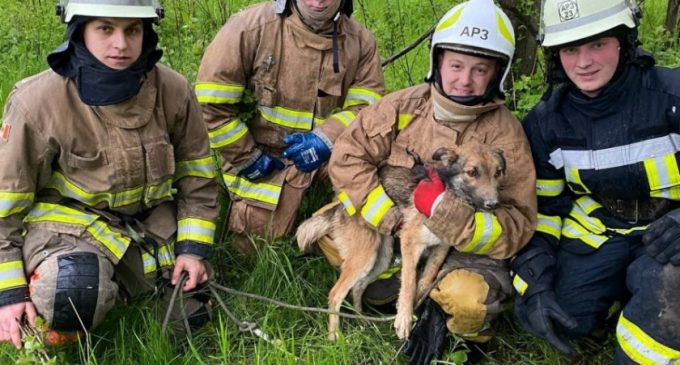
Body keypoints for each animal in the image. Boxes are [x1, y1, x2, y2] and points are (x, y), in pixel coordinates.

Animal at [0, 0, 218, 346]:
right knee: (74, 280)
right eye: (105, 28)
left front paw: (191, 264)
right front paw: (12, 308)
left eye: (131, 30)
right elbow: (11, 196)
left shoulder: (185, 96)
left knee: (193, 305)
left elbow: (192, 167)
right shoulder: (24, 114)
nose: (120, 47)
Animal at [195, 0, 382, 252]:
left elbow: (363, 105)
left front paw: (313, 147)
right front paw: (257, 162)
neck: (313, 32)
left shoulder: (368, 47)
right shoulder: (239, 31)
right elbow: (216, 93)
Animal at [296, 141, 504, 340]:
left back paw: (362, 321)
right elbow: (410, 281)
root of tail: (340, 206)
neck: (448, 196)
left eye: (498, 173)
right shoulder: (410, 242)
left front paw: (414, 310)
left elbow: (425, 280)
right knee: (336, 293)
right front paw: (403, 318)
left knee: (358, 287)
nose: (494, 204)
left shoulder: (440, 250)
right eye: (472, 172)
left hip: (382, 257)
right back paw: (334, 337)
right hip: (364, 256)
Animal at [516, 0, 680, 362]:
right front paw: (540, 303)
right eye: (571, 50)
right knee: (579, 298)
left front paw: (673, 230)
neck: (602, 104)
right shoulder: (535, 133)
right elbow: (545, 209)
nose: (584, 67)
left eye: (598, 44)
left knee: (662, 287)